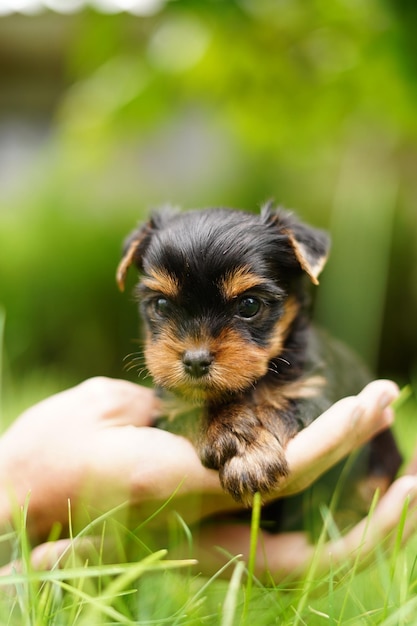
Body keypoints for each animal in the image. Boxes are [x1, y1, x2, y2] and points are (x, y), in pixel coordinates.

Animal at [116, 202, 400, 504]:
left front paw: (250, 456)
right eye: (161, 305)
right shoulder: (170, 409)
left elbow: (280, 403)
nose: (195, 361)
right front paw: (235, 434)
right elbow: (194, 411)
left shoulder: (312, 389)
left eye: (249, 305)